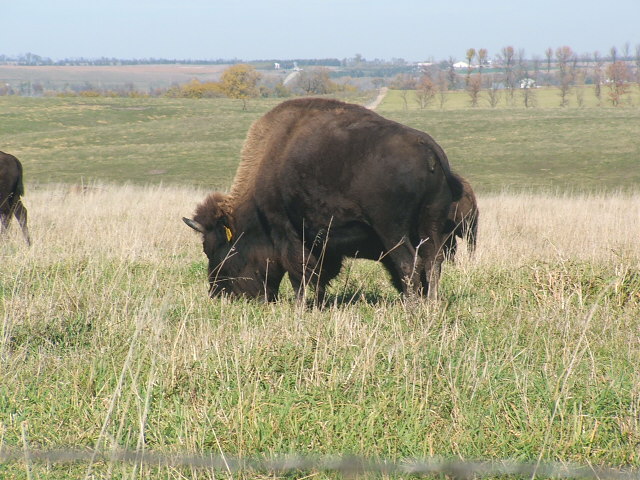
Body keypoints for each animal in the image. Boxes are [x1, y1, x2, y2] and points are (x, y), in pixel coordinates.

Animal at [184, 98, 462, 302]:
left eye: (214, 248)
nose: (218, 293)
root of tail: (427, 147)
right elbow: (318, 273)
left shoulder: (286, 229)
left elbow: (299, 271)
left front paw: (300, 305)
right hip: (431, 223)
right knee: (432, 261)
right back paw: (431, 304)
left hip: (392, 230)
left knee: (408, 263)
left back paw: (412, 307)